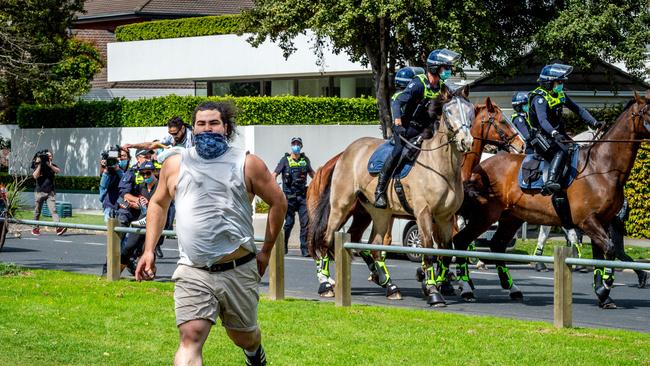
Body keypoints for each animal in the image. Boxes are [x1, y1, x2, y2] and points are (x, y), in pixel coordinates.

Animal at [450, 91, 648, 308]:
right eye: (647, 111)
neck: (602, 168)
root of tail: (480, 168)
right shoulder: (588, 221)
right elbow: (609, 251)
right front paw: (604, 289)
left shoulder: (600, 222)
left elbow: (601, 256)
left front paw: (603, 294)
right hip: (485, 216)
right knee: (461, 241)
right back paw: (466, 288)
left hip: (511, 218)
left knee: (496, 245)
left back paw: (511, 287)